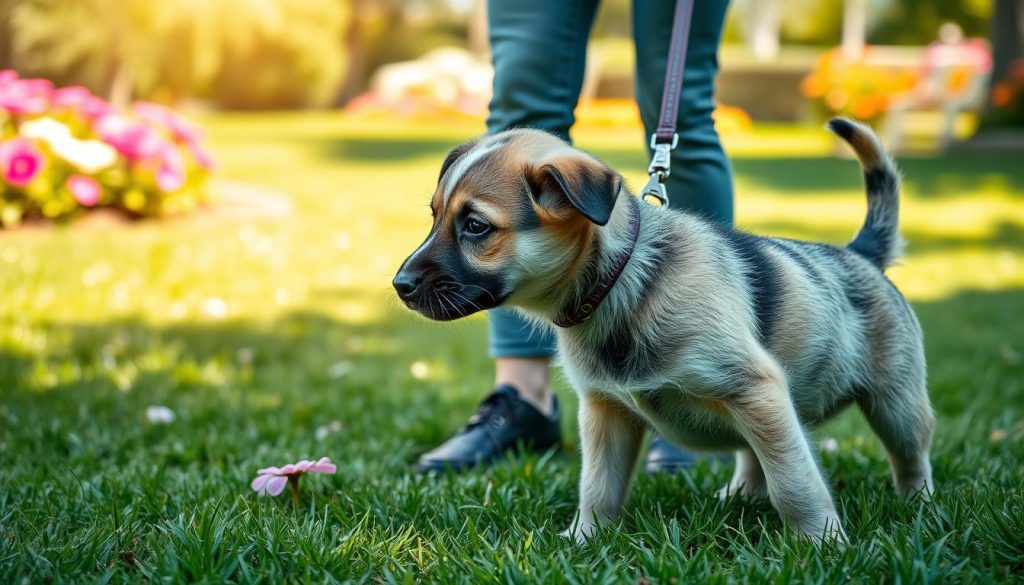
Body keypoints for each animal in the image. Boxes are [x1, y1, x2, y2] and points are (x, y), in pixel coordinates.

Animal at [393, 120, 937, 545]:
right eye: (435, 216)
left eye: (475, 226)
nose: (399, 285)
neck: (620, 282)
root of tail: (862, 253)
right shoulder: (606, 411)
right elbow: (598, 487)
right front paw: (583, 540)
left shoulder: (756, 389)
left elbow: (795, 482)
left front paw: (821, 543)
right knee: (753, 457)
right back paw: (739, 496)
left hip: (894, 402)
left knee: (910, 456)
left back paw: (919, 507)